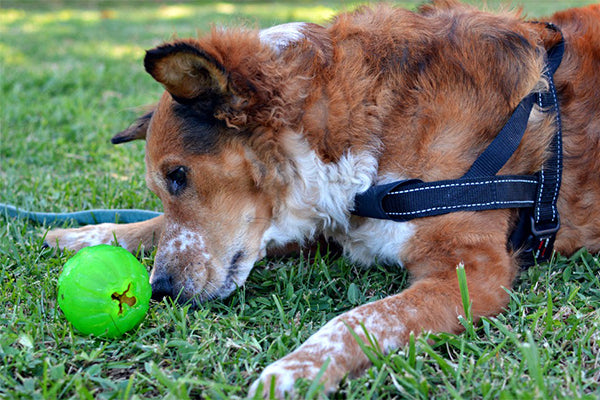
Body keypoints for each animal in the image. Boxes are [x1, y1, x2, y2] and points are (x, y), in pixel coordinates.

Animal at [47, 0, 600, 396]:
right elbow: (157, 226)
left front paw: (296, 369)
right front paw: (87, 233)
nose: (160, 288)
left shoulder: (471, 271)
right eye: (165, 186)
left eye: (178, 175)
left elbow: (357, 319)